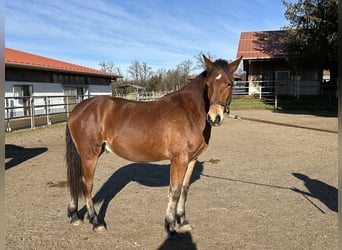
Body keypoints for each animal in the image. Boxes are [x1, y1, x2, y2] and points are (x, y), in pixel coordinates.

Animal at [65, 54, 242, 234]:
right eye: (207, 84)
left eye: (229, 83)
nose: (214, 117)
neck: (189, 112)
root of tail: (77, 109)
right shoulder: (179, 159)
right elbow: (175, 191)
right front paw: (170, 225)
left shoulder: (191, 159)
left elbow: (184, 190)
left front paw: (183, 221)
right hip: (90, 156)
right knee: (87, 185)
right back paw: (95, 222)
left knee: (75, 181)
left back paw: (75, 216)